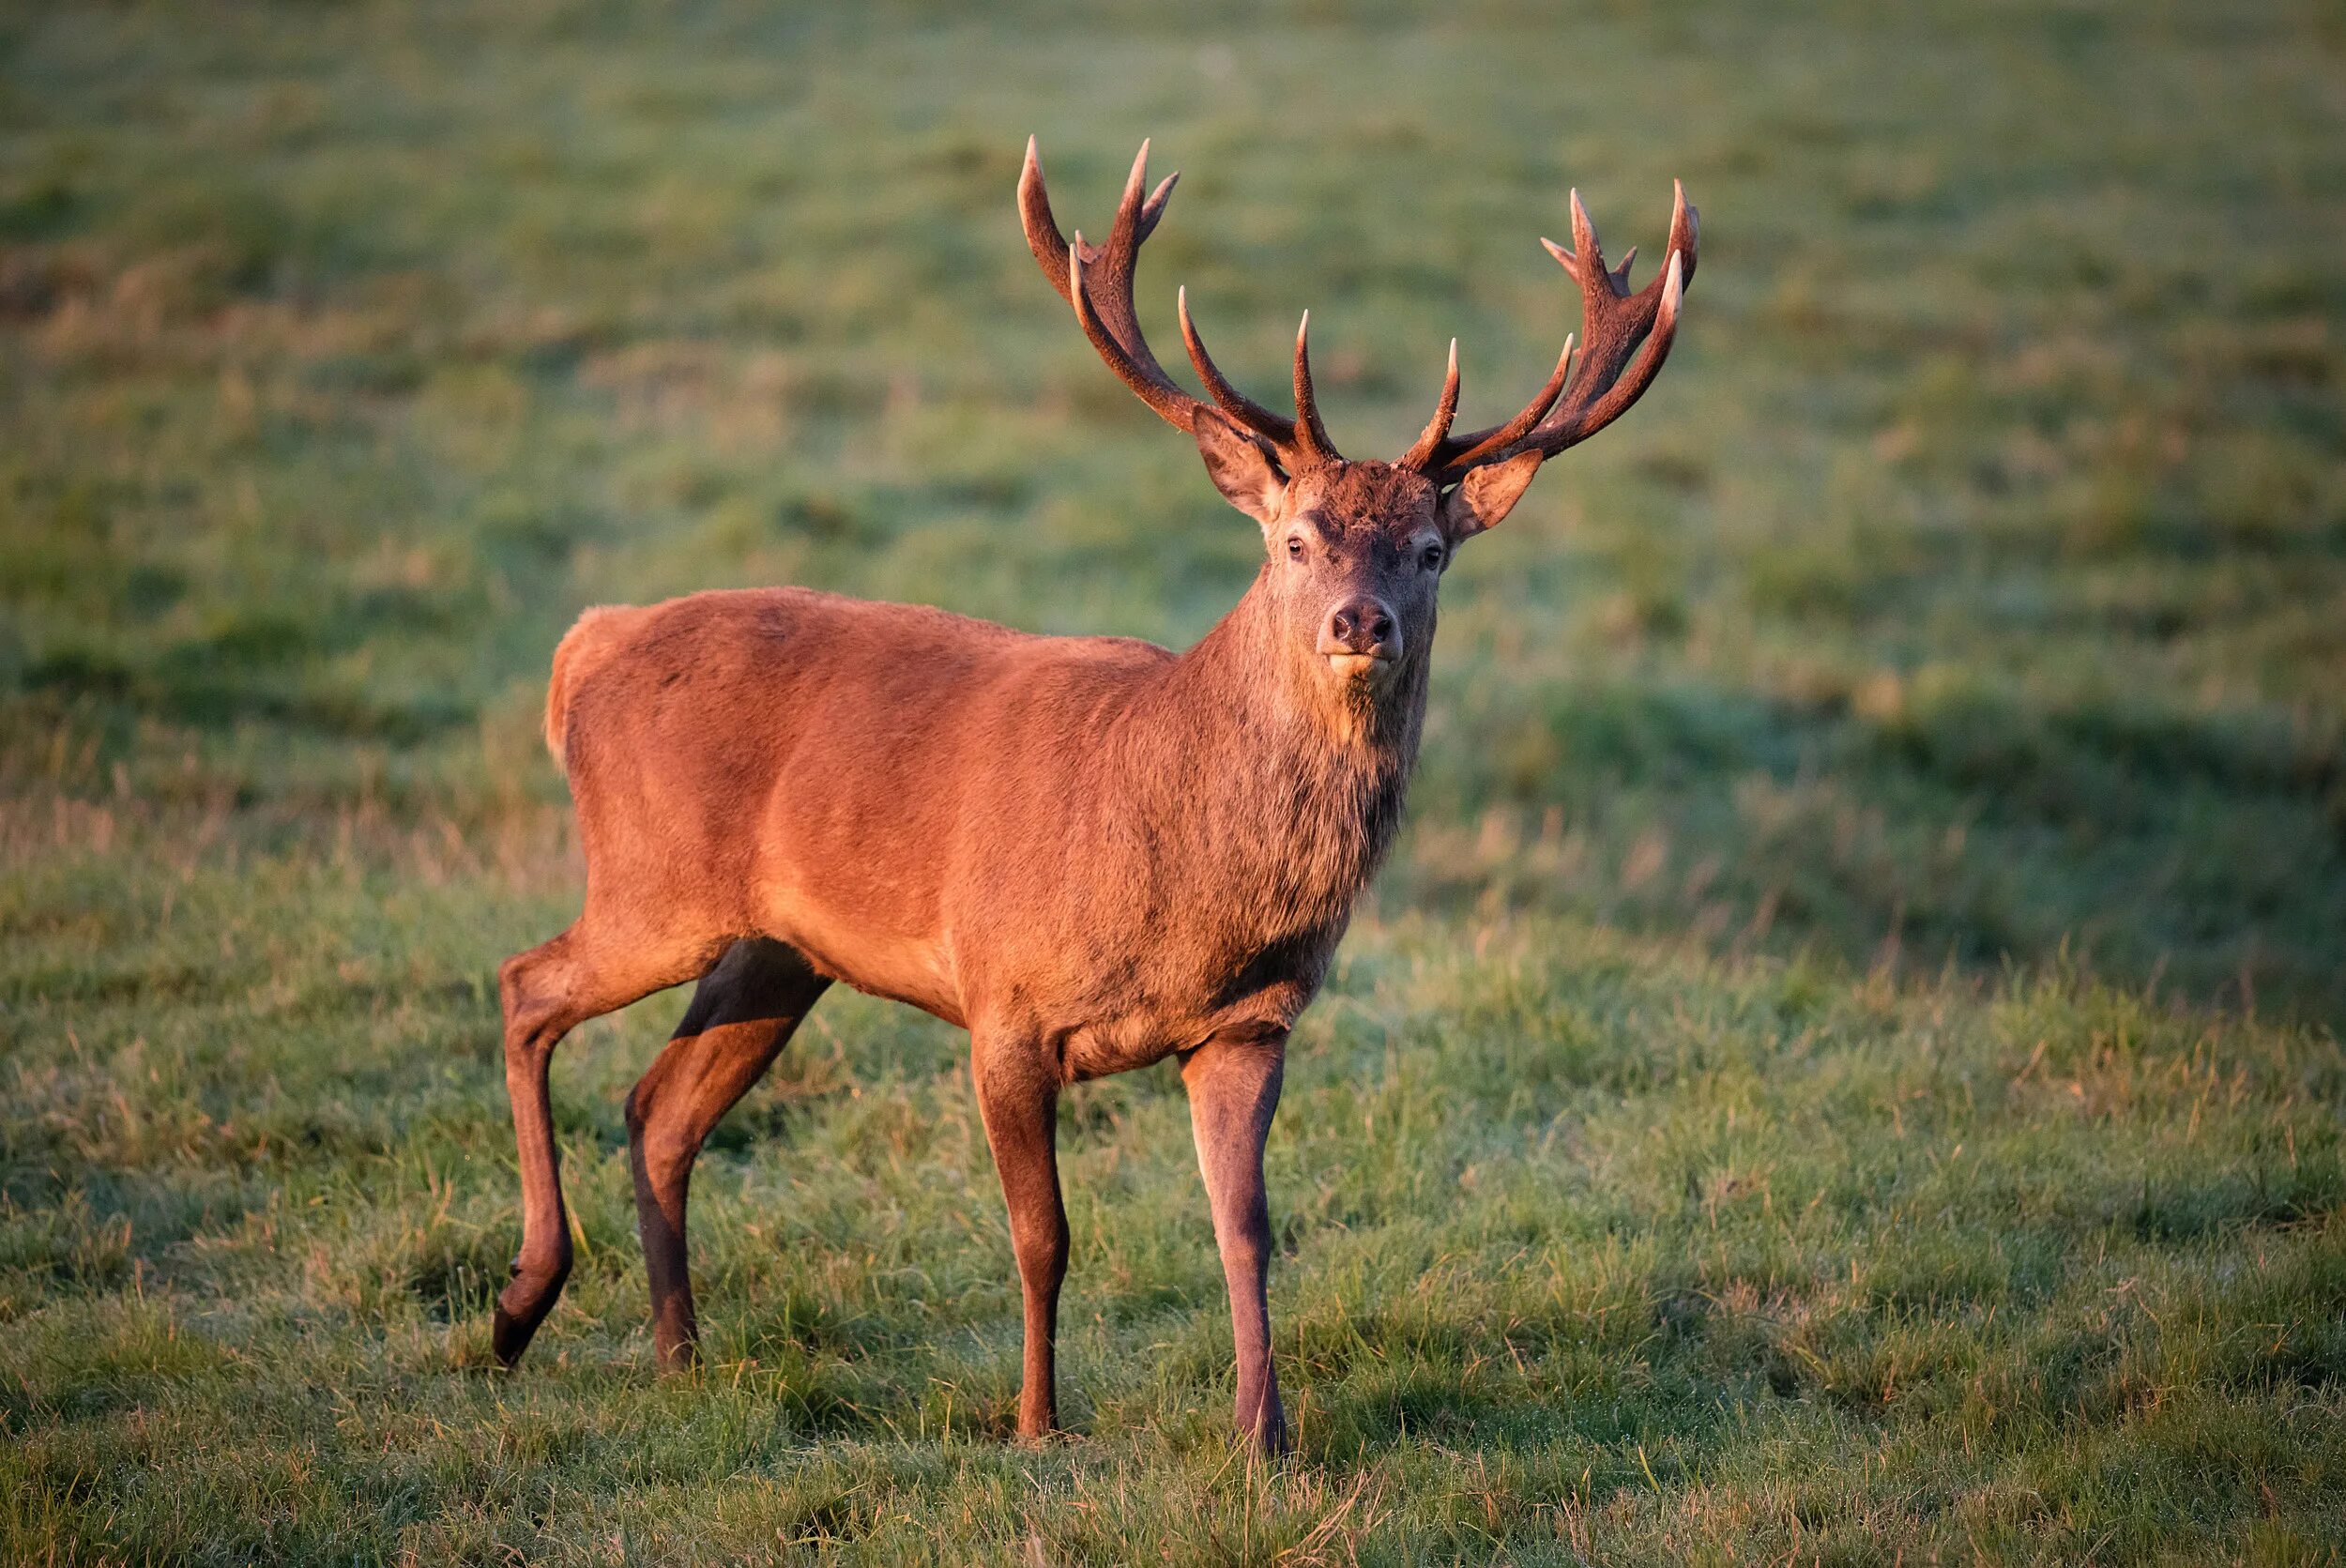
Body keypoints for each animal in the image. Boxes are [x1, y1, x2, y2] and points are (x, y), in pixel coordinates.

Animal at [495, 141, 1699, 1454]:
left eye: (1429, 552)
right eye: (1292, 539)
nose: (1359, 621)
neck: (1186, 894)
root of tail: (582, 650)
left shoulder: (1250, 1023)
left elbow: (1247, 1235)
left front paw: (1265, 1438)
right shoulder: (1004, 998)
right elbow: (1044, 1236)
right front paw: (1036, 1423)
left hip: (781, 945)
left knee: (658, 1107)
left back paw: (677, 1354)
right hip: (653, 877)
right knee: (525, 986)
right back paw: (521, 1303)